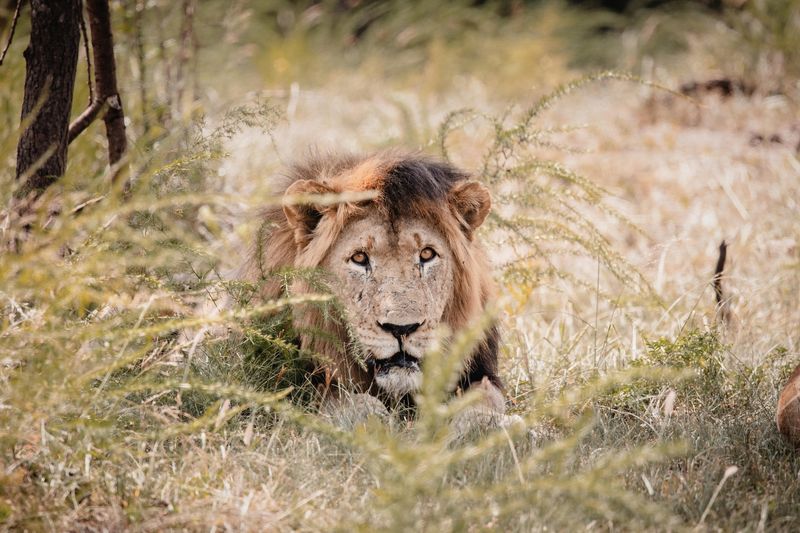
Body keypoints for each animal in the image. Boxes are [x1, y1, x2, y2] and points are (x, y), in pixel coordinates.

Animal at [246, 151, 511, 428]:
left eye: (426, 254)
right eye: (360, 258)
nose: (401, 328)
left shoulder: (479, 373)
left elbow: (487, 399)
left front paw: (478, 425)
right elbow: (336, 398)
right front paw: (369, 419)